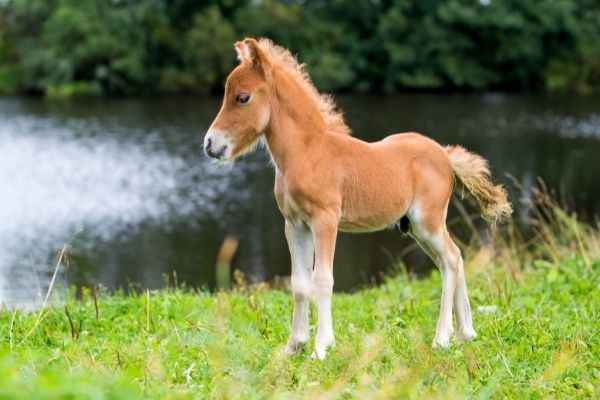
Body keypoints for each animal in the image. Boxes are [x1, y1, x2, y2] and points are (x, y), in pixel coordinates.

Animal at [205, 37, 510, 360]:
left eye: (242, 97)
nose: (211, 144)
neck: (307, 152)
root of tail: (445, 155)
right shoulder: (295, 224)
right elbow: (299, 282)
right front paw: (293, 346)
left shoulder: (325, 221)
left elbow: (323, 279)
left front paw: (321, 347)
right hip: (416, 228)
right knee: (453, 258)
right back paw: (466, 332)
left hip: (427, 221)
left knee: (451, 259)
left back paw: (442, 338)